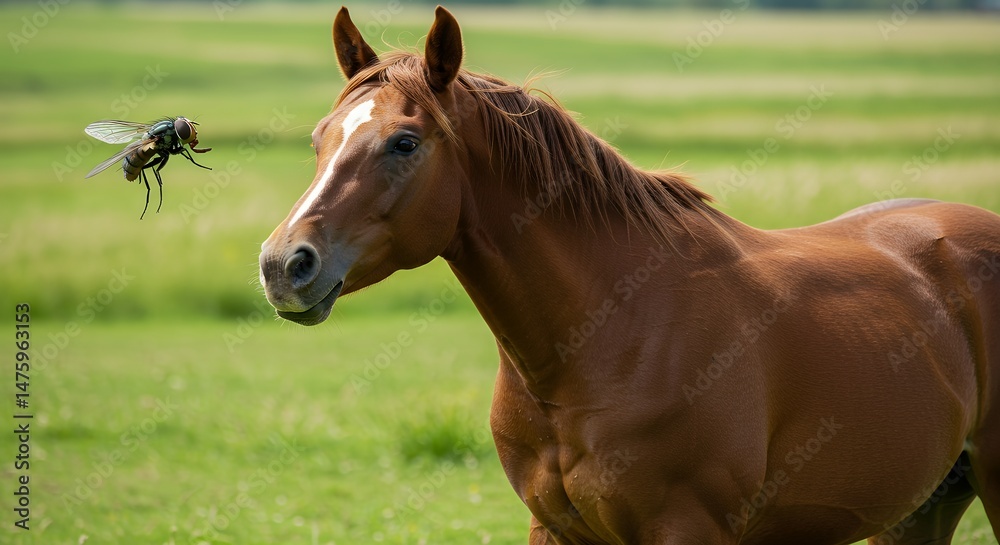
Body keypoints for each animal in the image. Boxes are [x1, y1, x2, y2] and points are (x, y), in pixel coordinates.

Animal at [259, 7, 1000, 544]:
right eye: (321, 138)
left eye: (404, 142)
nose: (283, 265)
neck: (611, 336)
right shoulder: (555, 530)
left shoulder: (687, 531)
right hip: (922, 507)